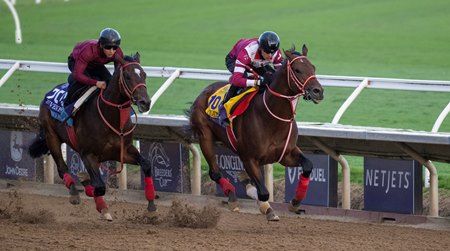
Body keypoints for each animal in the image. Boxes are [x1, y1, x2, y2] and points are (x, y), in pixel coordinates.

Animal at [28, 52, 156, 220]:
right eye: (128, 76)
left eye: (144, 74)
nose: (145, 102)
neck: (111, 118)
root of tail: (49, 93)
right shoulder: (88, 154)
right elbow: (99, 187)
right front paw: (99, 202)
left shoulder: (122, 151)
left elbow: (146, 164)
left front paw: (151, 203)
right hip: (52, 136)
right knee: (62, 169)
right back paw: (75, 193)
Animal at [189, 45, 324, 222]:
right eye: (297, 69)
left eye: (313, 67)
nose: (318, 91)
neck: (271, 119)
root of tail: (204, 91)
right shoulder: (249, 157)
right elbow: (264, 192)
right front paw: (267, 209)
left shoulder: (286, 154)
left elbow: (308, 165)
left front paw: (295, 203)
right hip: (205, 136)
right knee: (215, 172)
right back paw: (232, 197)